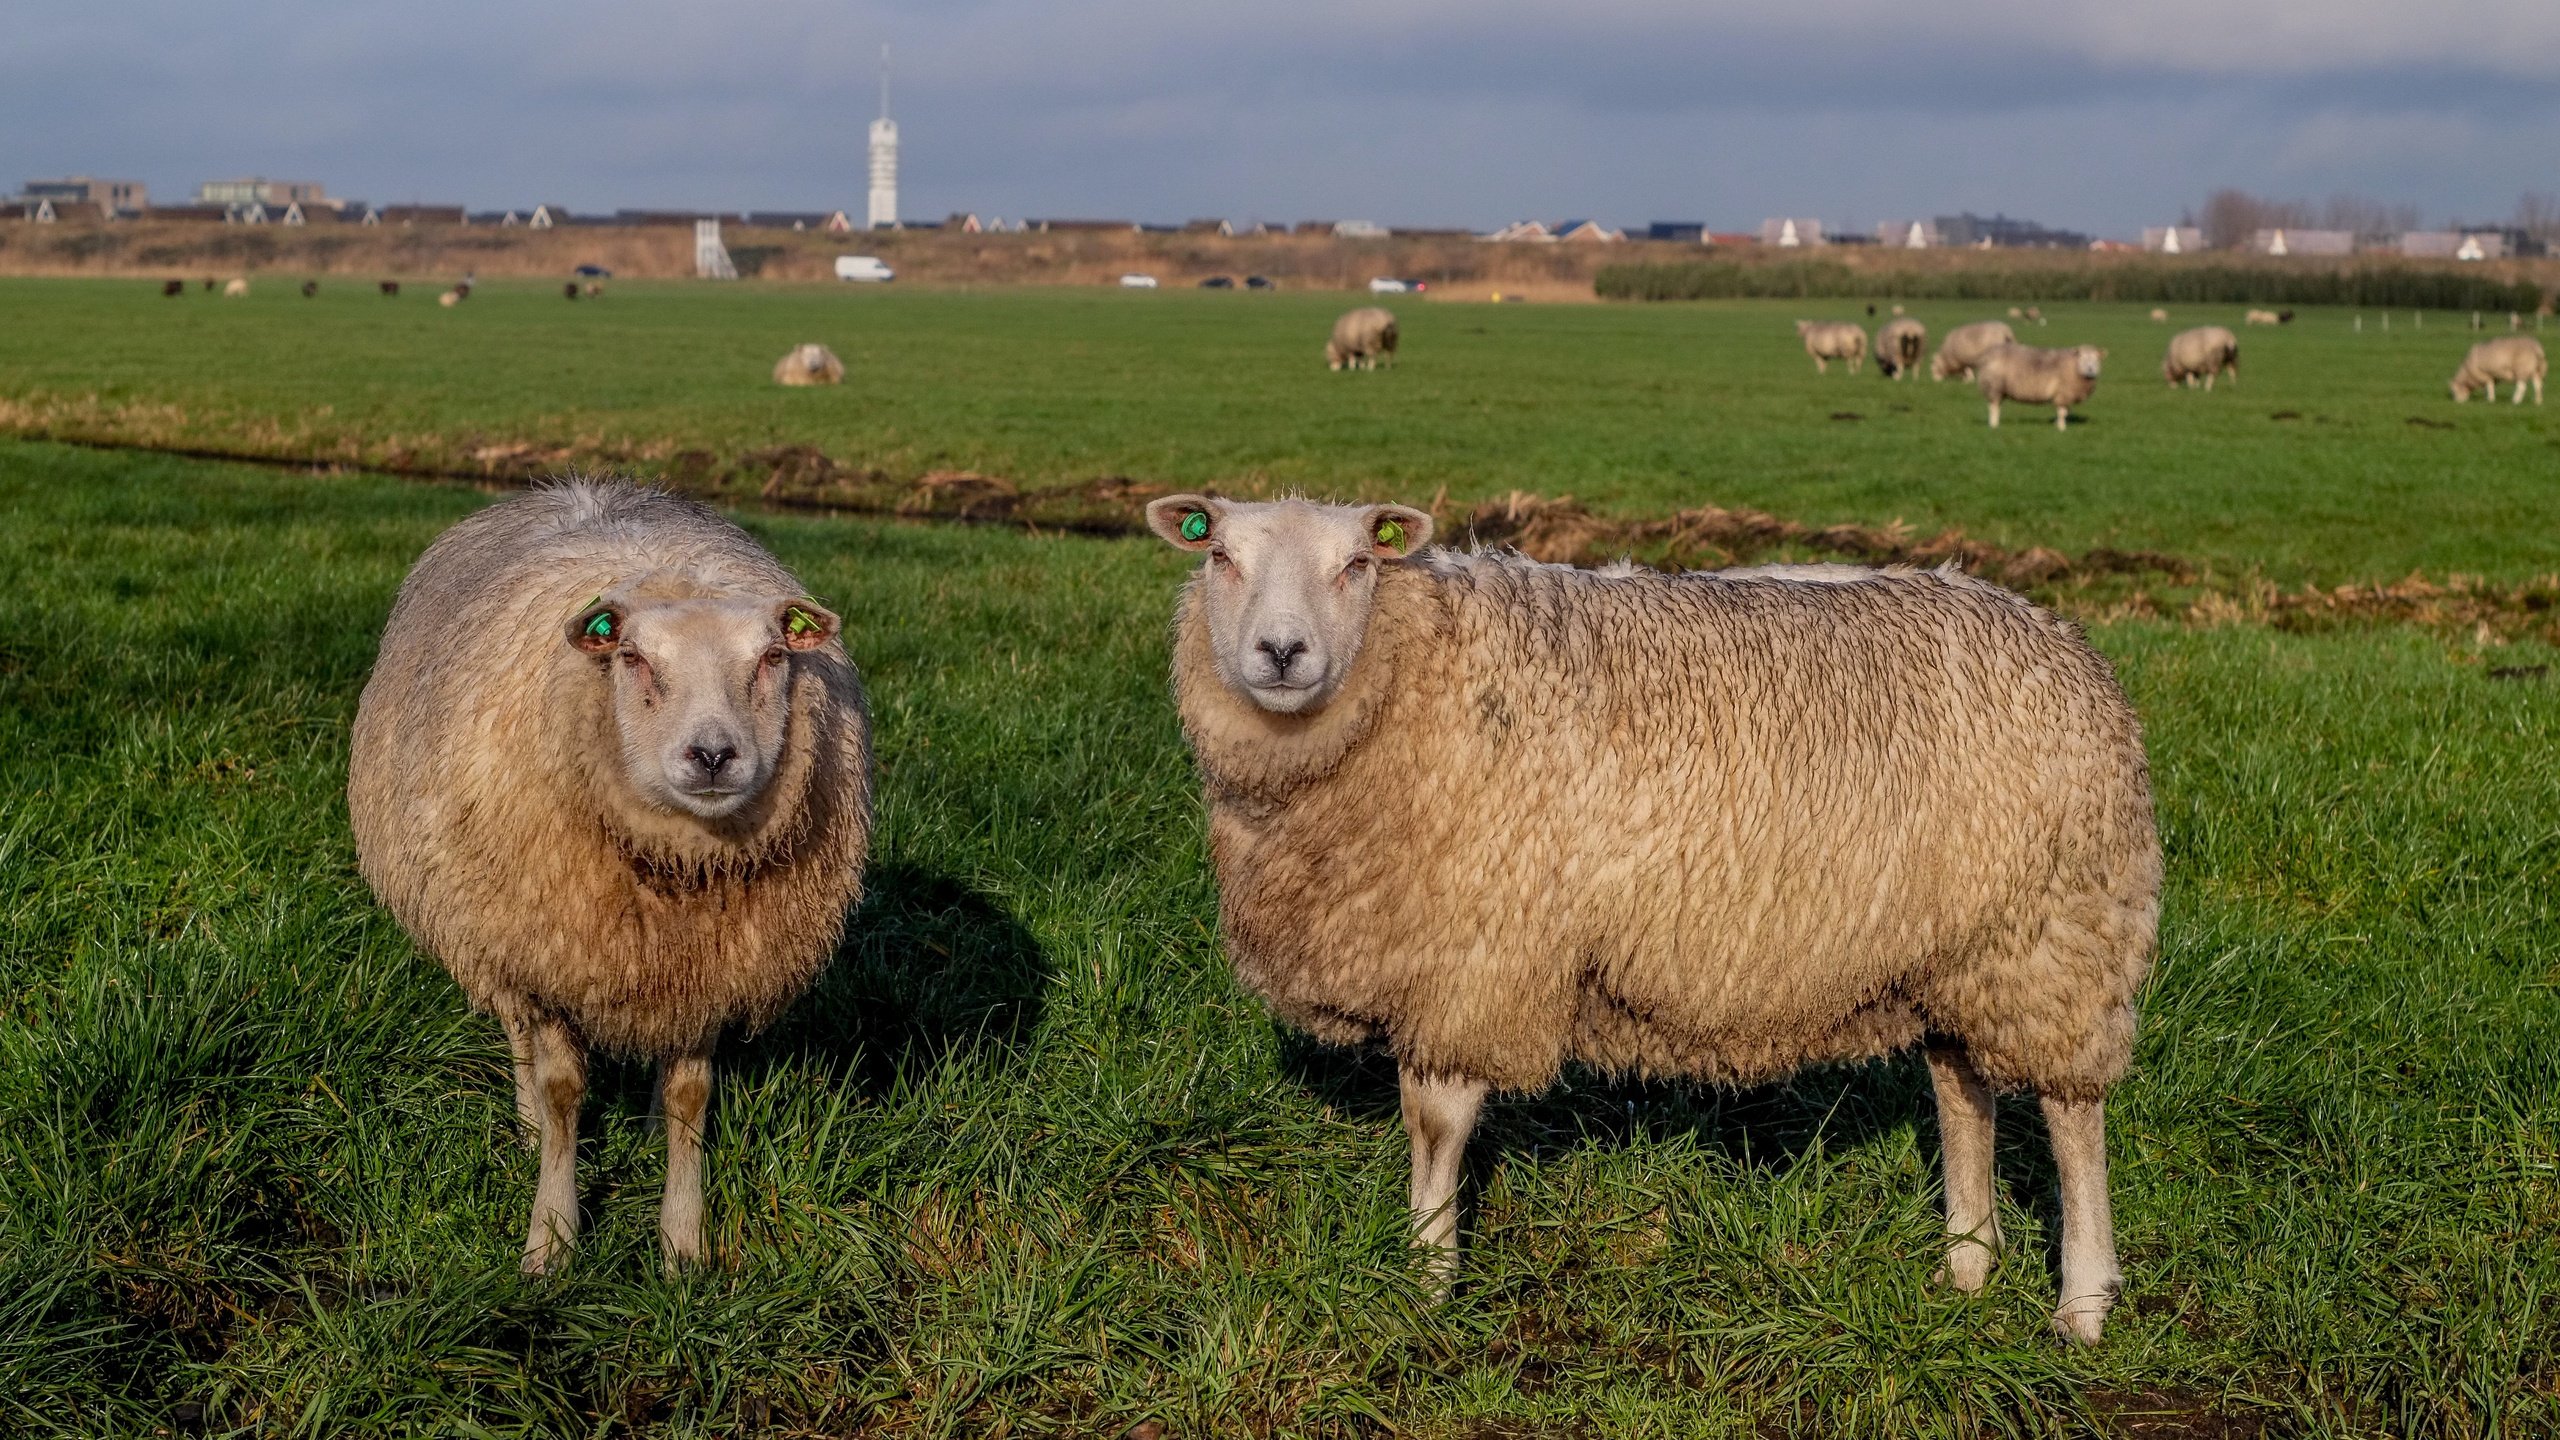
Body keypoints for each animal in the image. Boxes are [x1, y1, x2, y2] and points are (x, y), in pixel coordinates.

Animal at [345, 479, 875, 1265]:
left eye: (773, 658)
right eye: (633, 658)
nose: (712, 755)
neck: (678, 869)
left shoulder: (709, 966)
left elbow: (692, 1096)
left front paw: (683, 1241)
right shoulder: (548, 955)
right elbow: (564, 1088)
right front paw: (552, 1236)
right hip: (494, 929)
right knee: (517, 1034)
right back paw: (528, 1122)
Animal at [1141, 497, 2160, 1342]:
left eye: (1357, 563)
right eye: (1220, 555)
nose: (1282, 653)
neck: (1415, 671)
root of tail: (2061, 638)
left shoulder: (1477, 956)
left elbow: (1435, 1125)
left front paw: (1425, 1284)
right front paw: (1425, 1273)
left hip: (2059, 932)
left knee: (2073, 1117)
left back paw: (2082, 1305)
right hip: (1959, 946)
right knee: (1961, 1086)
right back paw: (1967, 1263)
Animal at [1966, 340, 2109, 425]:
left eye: (2096, 359)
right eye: (2082, 358)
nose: (2090, 369)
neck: (2074, 367)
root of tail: (1987, 354)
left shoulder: (2066, 395)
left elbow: (2065, 412)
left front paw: (2058, 424)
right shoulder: (2062, 393)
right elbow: (2062, 412)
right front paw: (2061, 428)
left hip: (1998, 389)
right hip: (1993, 386)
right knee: (1993, 407)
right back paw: (1994, 425)